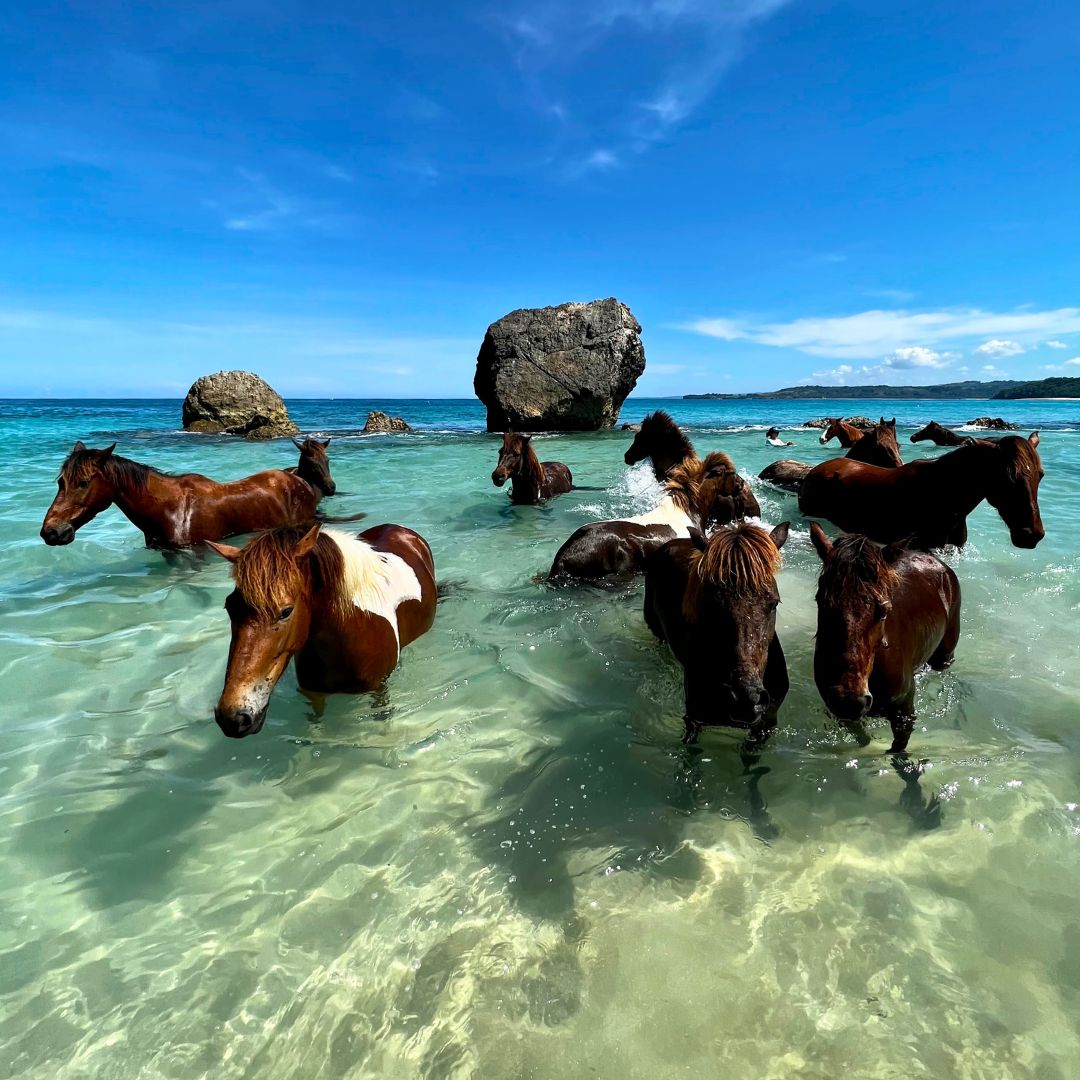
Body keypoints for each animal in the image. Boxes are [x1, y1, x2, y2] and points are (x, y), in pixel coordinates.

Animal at [208, 522, 437, 737]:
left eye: (286, 611)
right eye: (229, 606)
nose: (232, 718)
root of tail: (399, 530)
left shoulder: (379, 689)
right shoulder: (314, 693)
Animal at [809, 522, 961, 753]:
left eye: (883, 610)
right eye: (821, 602)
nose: (849, 699)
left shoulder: (904, 713)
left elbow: (898, 749)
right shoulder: (841, 713)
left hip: (945, 655)